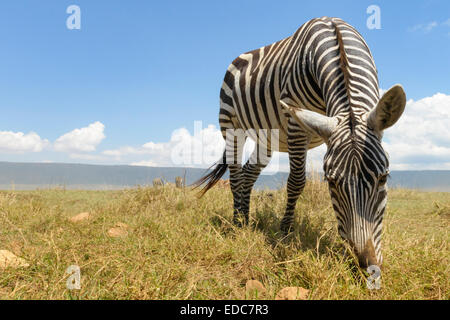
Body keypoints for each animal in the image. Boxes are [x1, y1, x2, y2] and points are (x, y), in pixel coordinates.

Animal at [195, 16, 406, 268]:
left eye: (384, 178)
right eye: (330, 182)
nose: (366, 263)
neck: (337, 40)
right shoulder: (296, 122)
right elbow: (296, 182)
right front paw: (285, 233)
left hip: (266, 138)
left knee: (248, 174)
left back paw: (246, 220)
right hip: (230, 124)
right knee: (236, 175)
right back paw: (237, 223)